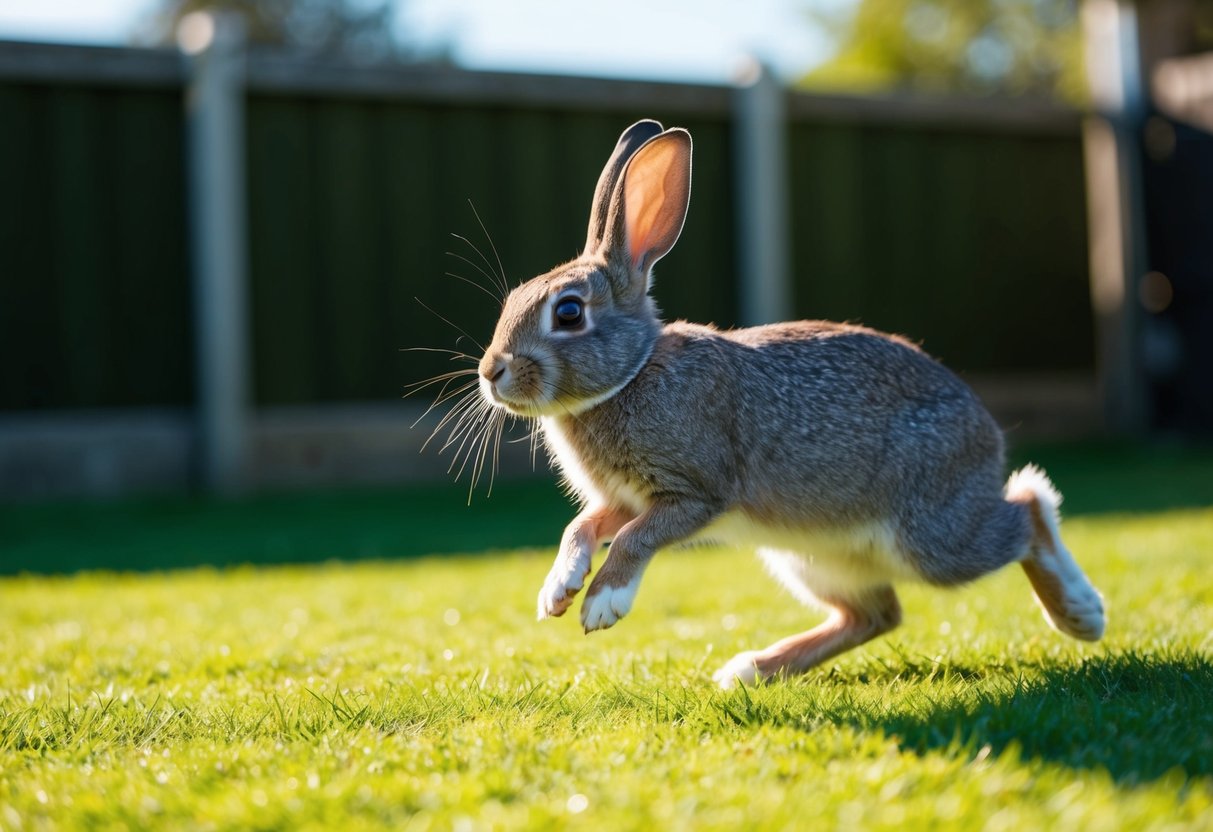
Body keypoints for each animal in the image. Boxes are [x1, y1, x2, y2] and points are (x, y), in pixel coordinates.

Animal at [475, 118, 1105, 687]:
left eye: (568, 313)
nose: (491, 372)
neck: (632, 373)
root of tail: (987, 433)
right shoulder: (626, 499)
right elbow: (581, 527)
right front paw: (557, 589)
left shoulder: (695, 492)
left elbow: (634, 538)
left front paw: (602, 603)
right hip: (814, 560)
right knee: (874, 614)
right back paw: (747, 671)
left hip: (931, 536)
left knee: (1026, 511)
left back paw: (1082, 614)